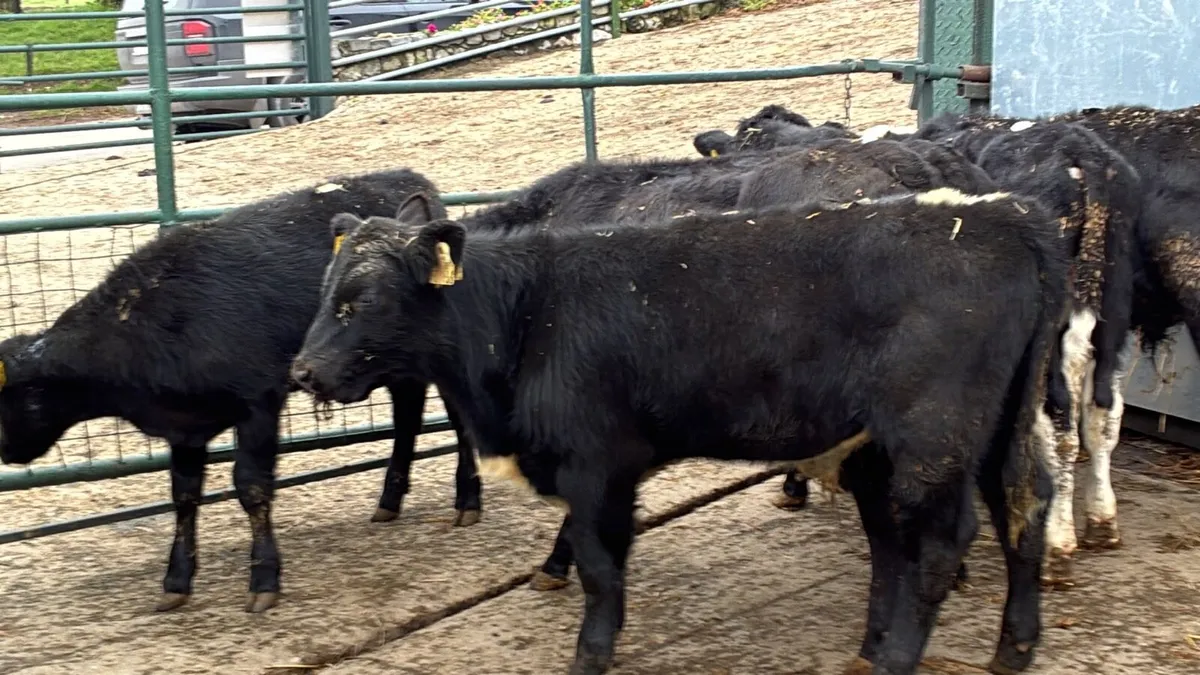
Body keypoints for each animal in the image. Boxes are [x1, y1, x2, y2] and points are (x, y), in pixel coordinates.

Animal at [0, 169, 485, 614]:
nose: (6, 453)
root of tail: (409, 180)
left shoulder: (258, 405)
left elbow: (251, 487)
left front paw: (263, 579)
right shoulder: (185, 429)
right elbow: (184, 496)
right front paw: (176, 581)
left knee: (459, 416)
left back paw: (467, 499)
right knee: (407, 413)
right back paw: (390, 499)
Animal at [291, 188, 1070, 675]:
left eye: (363, 300)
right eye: (324, 291)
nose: (303, 371)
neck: (524, 314)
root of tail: (1005, 213)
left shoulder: (597, 463)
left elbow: (600, 566)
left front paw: (591, 653)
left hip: (932, 438)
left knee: (940, 543)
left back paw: (901, 656)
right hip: (983, 429)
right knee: (1017, 507)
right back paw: (1002, 646)